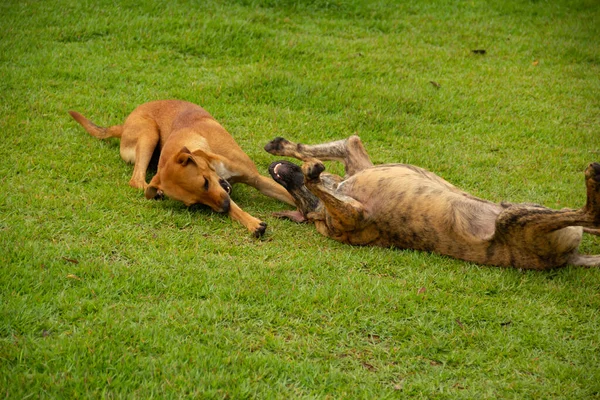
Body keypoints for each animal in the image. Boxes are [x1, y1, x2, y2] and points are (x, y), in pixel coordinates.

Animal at [69, 100, 294, 236]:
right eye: (194, 204)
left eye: (205, 183)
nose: (223, 208)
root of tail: (123, 126)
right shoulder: (223, 192)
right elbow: (234, 206)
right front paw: (251, 222)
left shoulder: (257, 179)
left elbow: (290, 195)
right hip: (148, 135)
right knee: (136, 179)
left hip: (149, 133)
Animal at [264, 134, 600, 268]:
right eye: (298, 205)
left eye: (294, 197)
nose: (271, 170)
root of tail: (570, 258)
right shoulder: (354, 214)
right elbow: (315, 173)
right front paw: (311, 169)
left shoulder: (355, 159)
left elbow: (336, 144)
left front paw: (283, 146)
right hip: (518, 220)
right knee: (589, 213)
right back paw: (593, 178)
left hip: (523, 209)